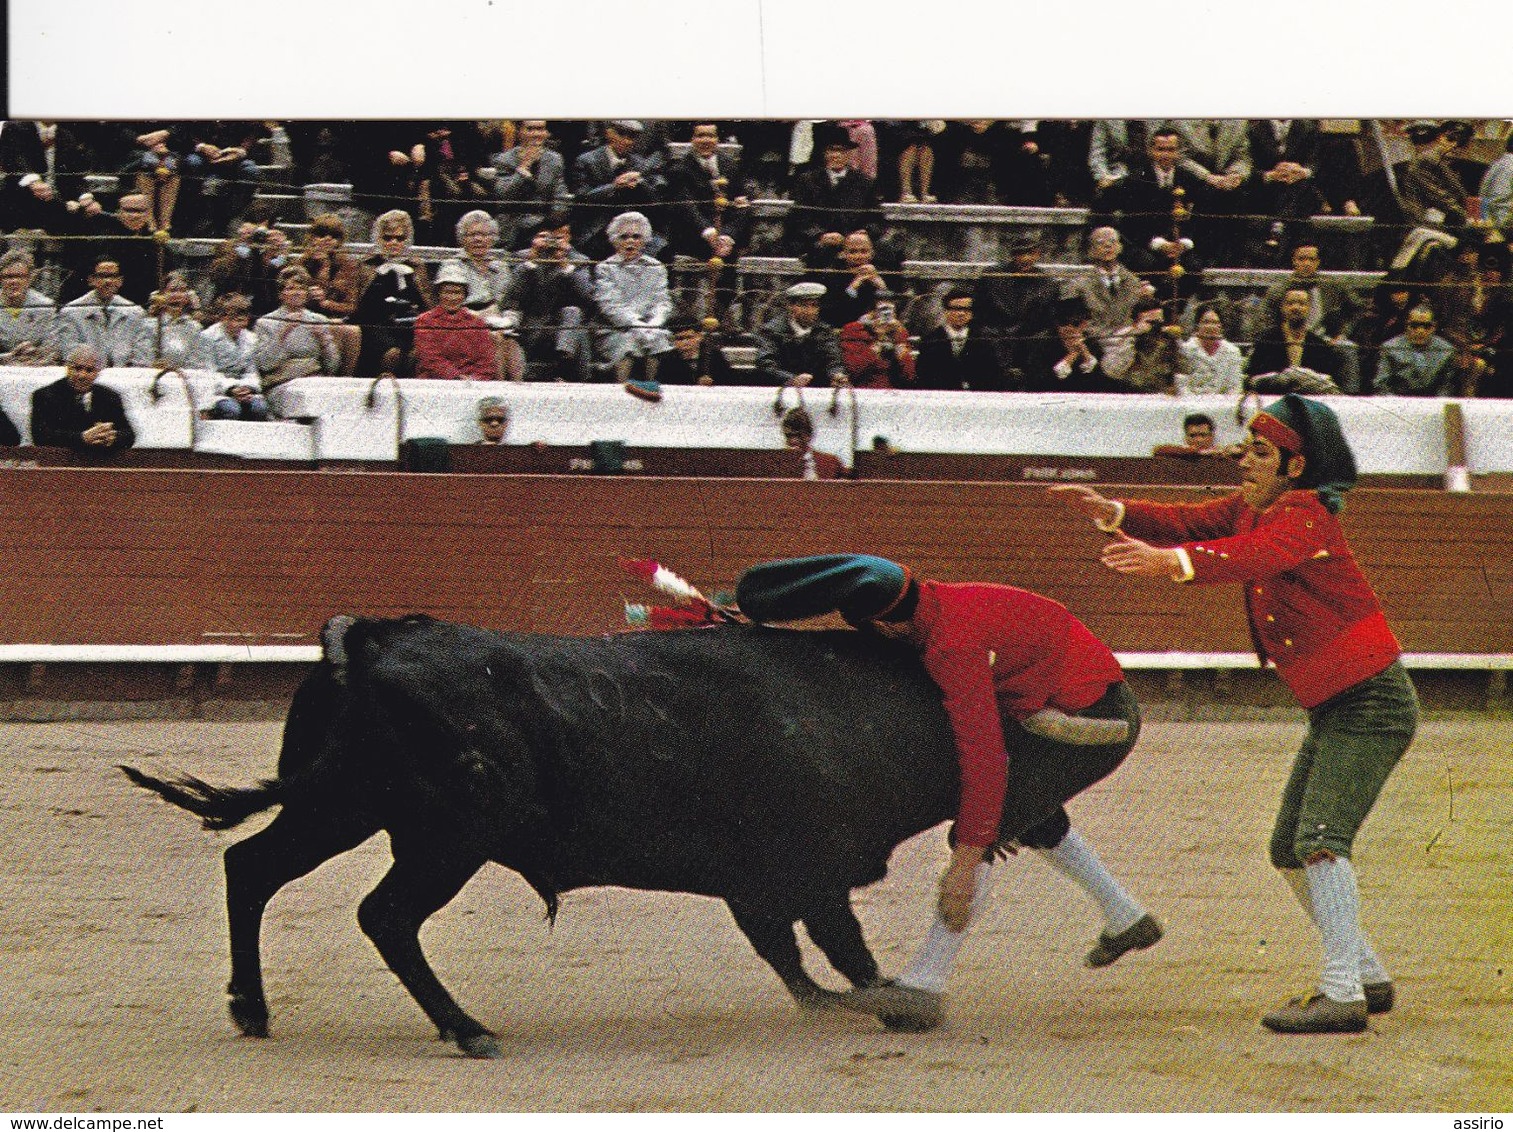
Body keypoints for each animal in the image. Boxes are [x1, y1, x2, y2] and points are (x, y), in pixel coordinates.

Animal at [124, 614, 1137, 1059]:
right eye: (1022, 748)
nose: (1042, 822)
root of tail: (371, 641)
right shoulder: (806, 868)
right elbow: (838, 947)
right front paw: (895, 1002)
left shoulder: (760, 884)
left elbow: (789, 956)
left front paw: (845, 1003)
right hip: (445, 837)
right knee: (386, 917)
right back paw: (467, 1028)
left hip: (340, 808)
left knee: (251, 866)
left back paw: (252, 1010)